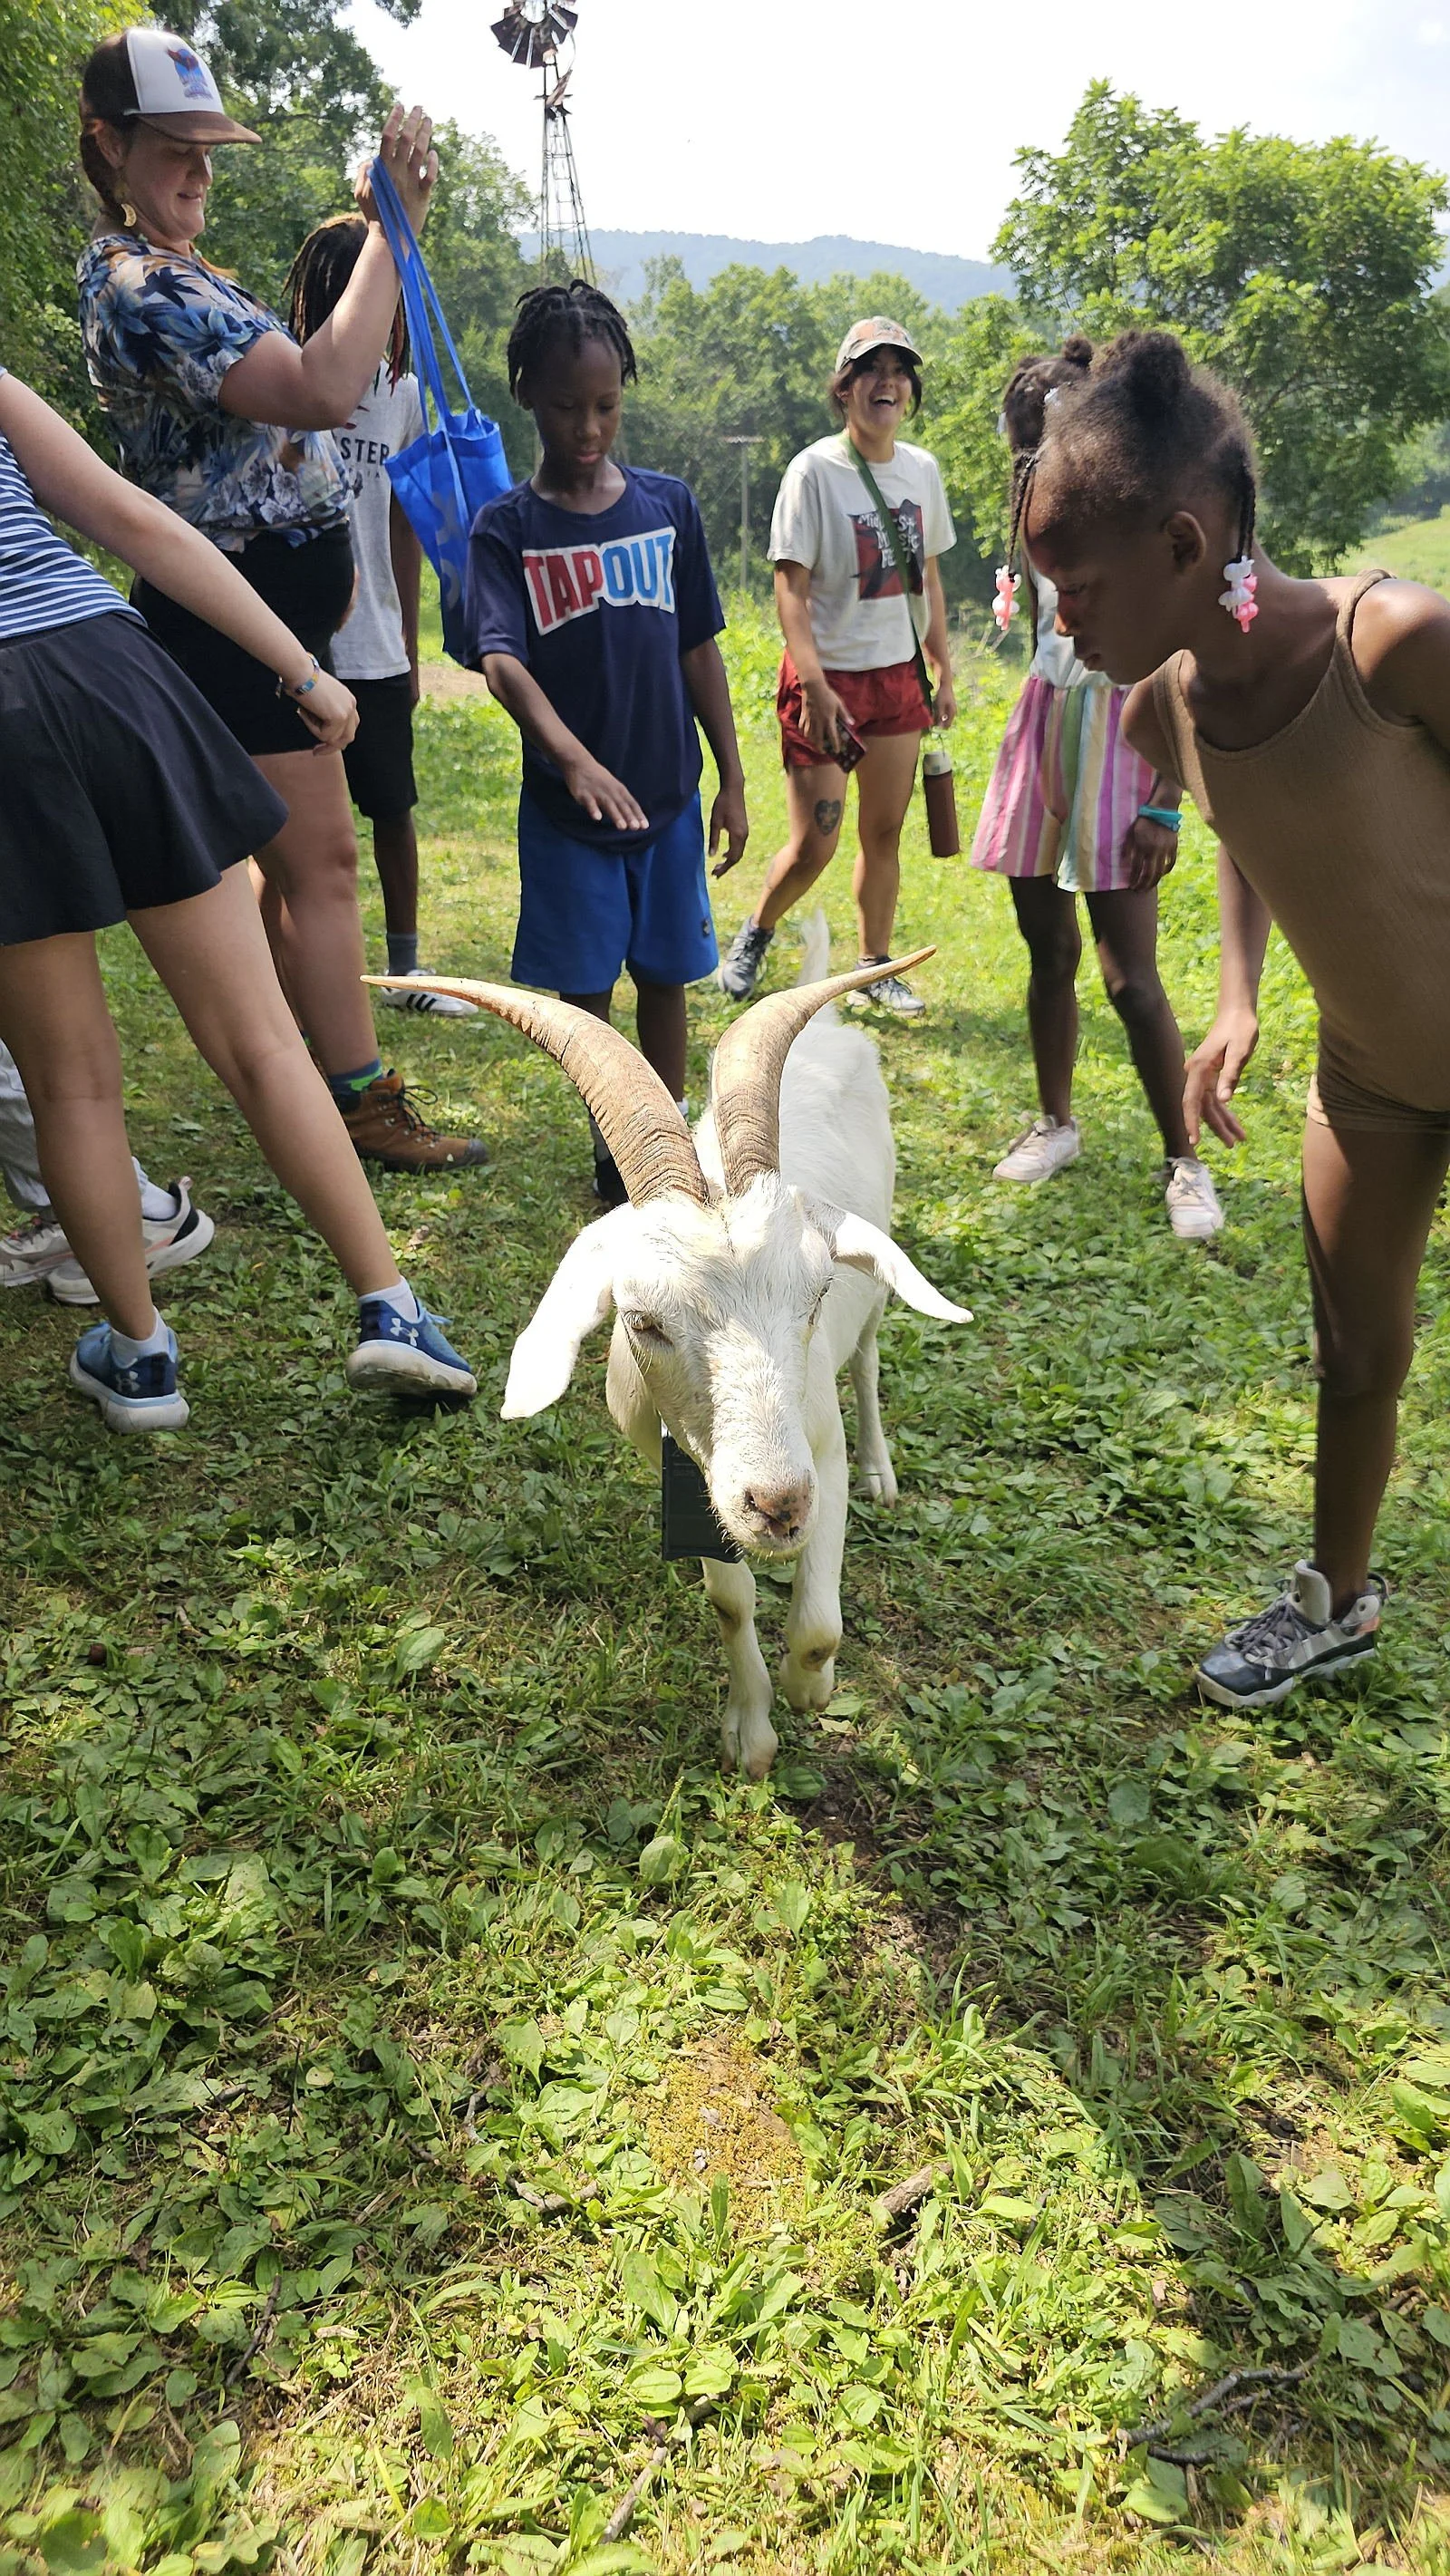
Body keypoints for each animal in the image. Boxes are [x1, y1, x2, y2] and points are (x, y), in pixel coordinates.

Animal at [368, 921, 969, 1779]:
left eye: (816, 1293)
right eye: (644, 1320)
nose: (779, 1504)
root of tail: (824, 1025)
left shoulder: (818, 1447)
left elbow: (820, 1623)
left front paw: (810, 1690)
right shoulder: (688, 1472)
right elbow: (730, 1601)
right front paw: (750, 1732)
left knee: (868, 1360)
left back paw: (884, 1470)